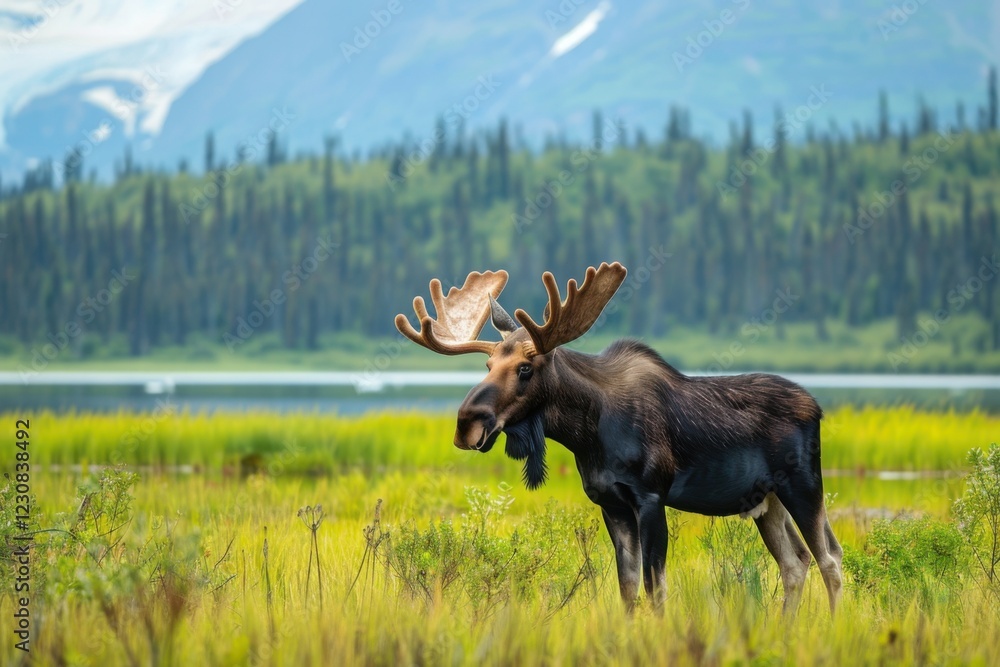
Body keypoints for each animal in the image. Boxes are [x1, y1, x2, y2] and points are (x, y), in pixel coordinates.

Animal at [395, 262, 843, 614]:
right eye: (488, 365)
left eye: (526, 367)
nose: (466, 423)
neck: (586, 435)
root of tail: (818, 407)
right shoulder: (609, 503)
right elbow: (627, 589)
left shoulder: (651, 497)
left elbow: (655, 587)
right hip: (767, 502)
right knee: (796, 562)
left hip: (804, 484)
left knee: (830, 559)